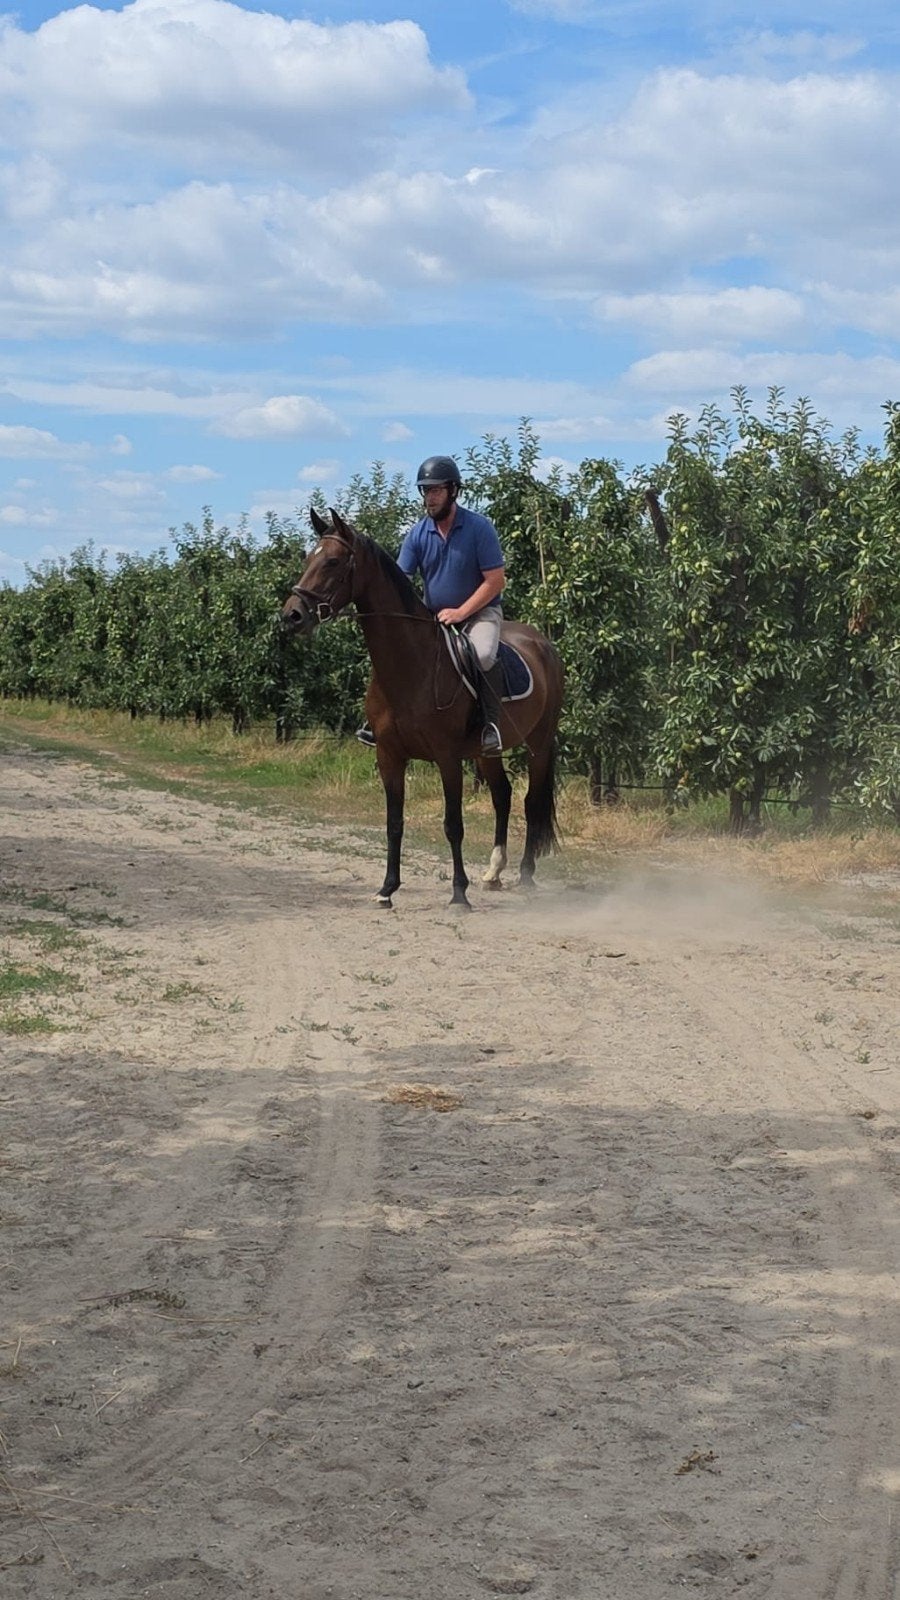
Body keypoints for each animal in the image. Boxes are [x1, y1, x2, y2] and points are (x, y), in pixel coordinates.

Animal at [282, 507, 564, 909]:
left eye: (333, 561)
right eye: (309, 558)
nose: (291, 616)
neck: (411, 665)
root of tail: (543, 644)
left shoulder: (447, 757)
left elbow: (453, 825)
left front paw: (459, 894)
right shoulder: (389, 755)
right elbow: (394, 823)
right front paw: (387, 889)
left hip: (538, 744)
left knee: (530, 801)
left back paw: (525, 874)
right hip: (487, 753)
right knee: (503, 796)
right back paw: (494, 872)